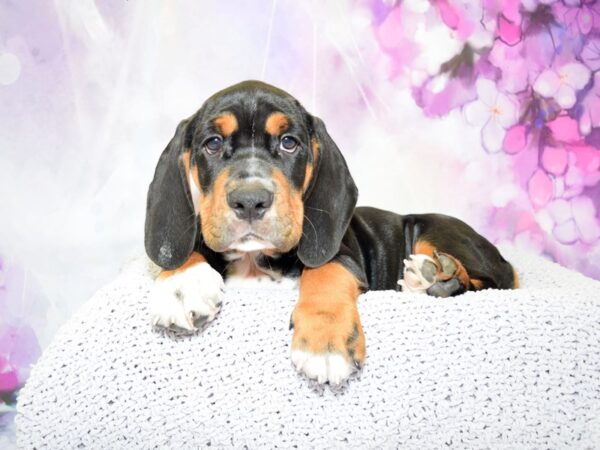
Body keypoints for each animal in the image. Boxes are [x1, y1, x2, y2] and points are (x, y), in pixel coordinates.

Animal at [144, 79, 516, 384]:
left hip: (436, 231)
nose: (250, 200)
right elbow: (184, 249)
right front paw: (182, 284)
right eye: (213, 143)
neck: (255, 261)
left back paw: (434, 277)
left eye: (289, 143)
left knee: (486, 282)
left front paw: (324, 341)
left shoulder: (344, 258)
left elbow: (324, 273)